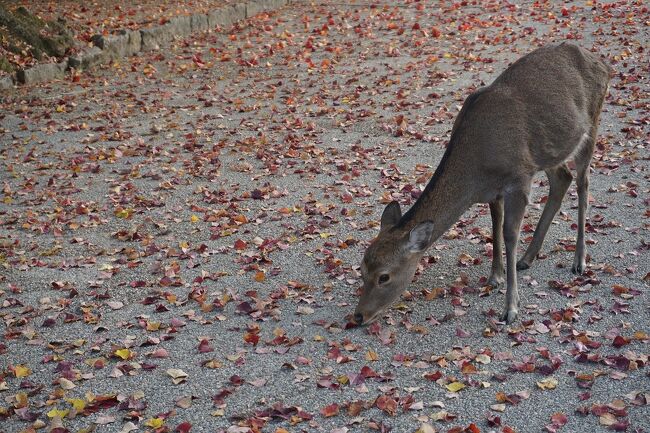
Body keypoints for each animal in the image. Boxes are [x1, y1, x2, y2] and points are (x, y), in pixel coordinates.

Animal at [352, 43, 612, 324]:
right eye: (362, 269)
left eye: (384, 276)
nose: (358, 316)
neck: (477, 169)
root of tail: (602, 63)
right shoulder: (494, 190)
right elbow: (494, 225)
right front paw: (494, 276)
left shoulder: (519, 177)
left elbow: (510, 234)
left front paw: (511, 308)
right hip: (550, 149)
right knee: (563, 178)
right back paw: (527, 258)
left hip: (592, 122)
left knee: (583, 182)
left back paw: (579, 260)